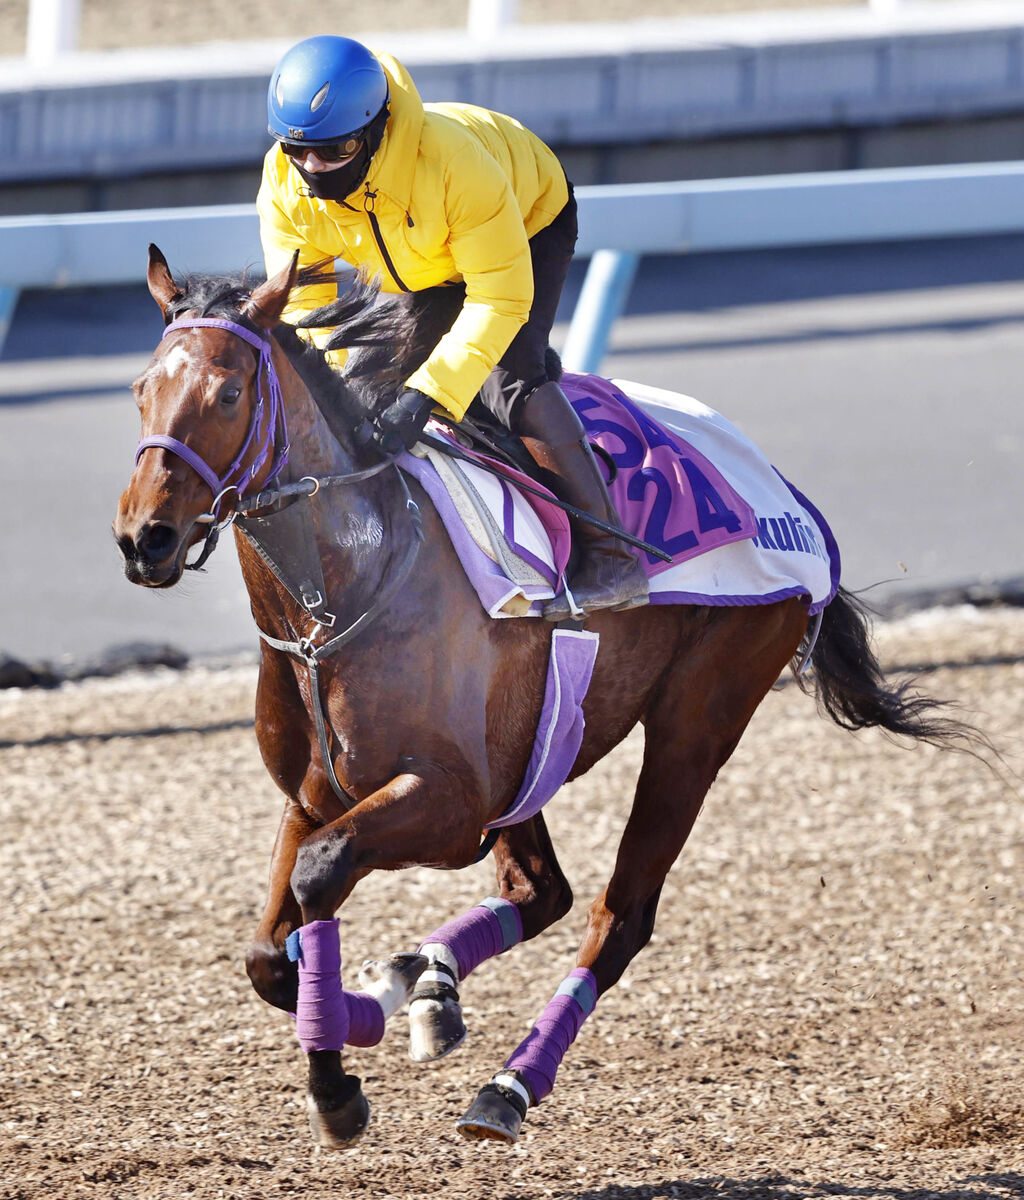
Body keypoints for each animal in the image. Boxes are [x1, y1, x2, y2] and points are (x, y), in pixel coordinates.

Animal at [111, 246, 965, 1152]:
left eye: (228, 393)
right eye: (140, 390)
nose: (144, 539)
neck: (342, 593)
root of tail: (787, 495)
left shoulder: (451, 805)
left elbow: (320, 876)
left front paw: (341, 1076)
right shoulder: (313, 795)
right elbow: (268, 956)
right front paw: (367, 1014)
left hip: (698, 721)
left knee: (619, 918)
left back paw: (506, 1085)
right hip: (537, 750)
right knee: (541, 890)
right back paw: (425, 983)